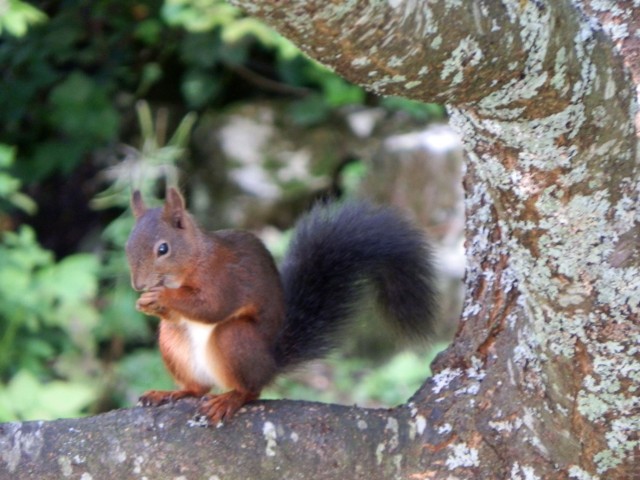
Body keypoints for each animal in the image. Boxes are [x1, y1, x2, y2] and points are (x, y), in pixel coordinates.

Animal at [126, 188, 436, 424]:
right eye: (128, 246)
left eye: (163, 249)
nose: (138, 285)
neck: (192, 261)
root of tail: (270, 364)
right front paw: (146, 303)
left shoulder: (226, 277)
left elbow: (213, 306)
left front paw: (161, 297)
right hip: (172, 340)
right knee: (198, 386)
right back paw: (173, 393)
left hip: (235, 338)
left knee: (251, 390)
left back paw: (231, 398)